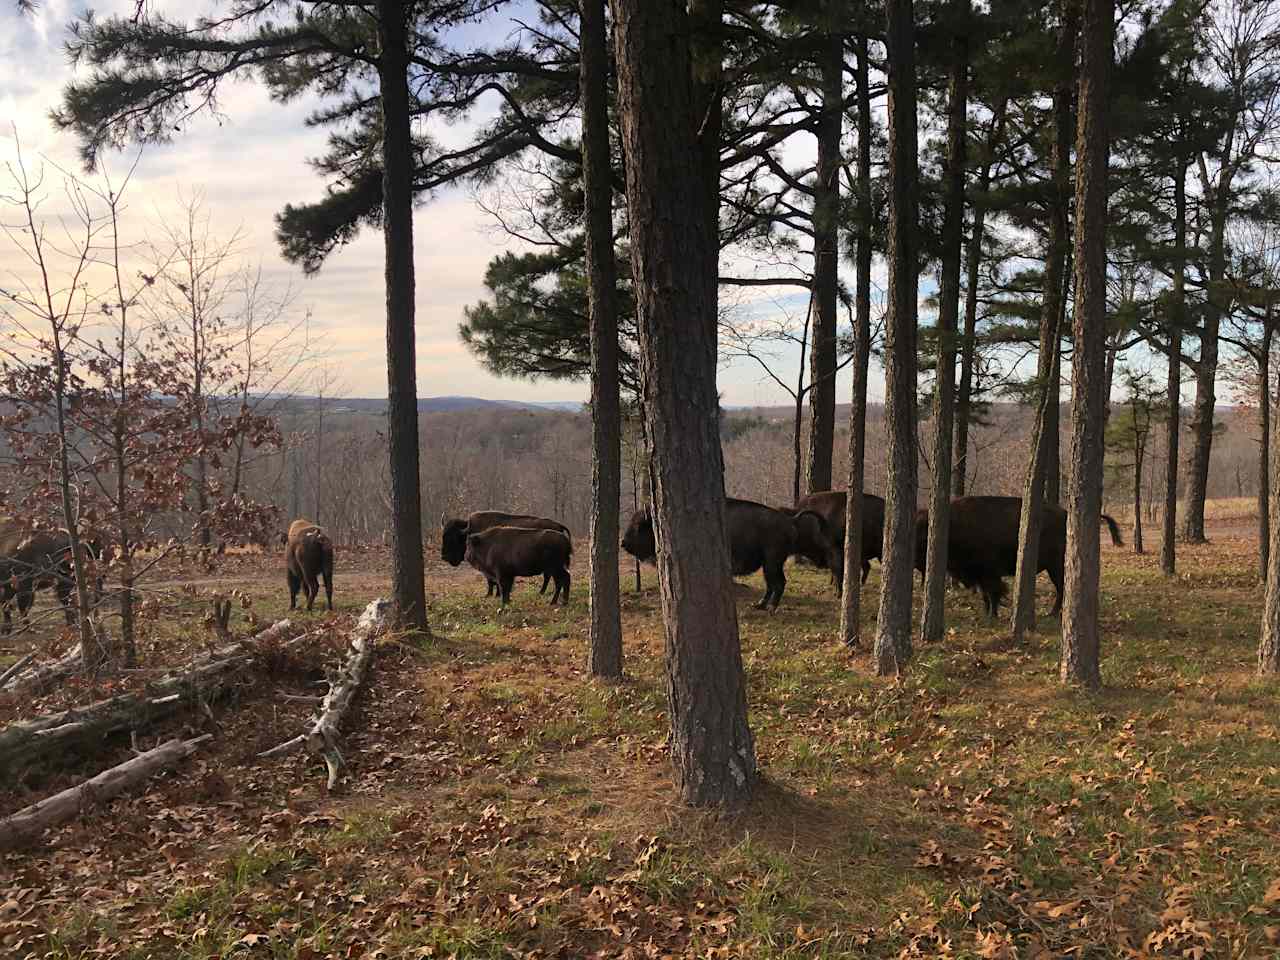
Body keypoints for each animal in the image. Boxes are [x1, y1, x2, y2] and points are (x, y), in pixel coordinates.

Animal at [440, 512, 570, 593]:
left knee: (549, 576)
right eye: (443, 536)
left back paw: (541, 592)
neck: (468, 531)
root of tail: (558, 525)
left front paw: (491, 595)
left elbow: (491, 581)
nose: (444, 556)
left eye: (453, 538)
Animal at [616, 499, 834, 611]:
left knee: (778, 583)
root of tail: (790, 520)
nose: (623, 542)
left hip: (772, 561)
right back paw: (759, 605)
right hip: (769, 563)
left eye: (639, 526)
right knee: (772, 584)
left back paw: (770, 608)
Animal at [911, 491, 1121, 619]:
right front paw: (988, 614)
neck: (954, 525)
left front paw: (992, 615)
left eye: (920, 537)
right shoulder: (980, 575)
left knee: (1062, 589)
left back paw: (1052, 614)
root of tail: (1066, 515)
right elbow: (986, 594)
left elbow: (993, 592)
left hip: (1055, 566)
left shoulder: (989, 573)